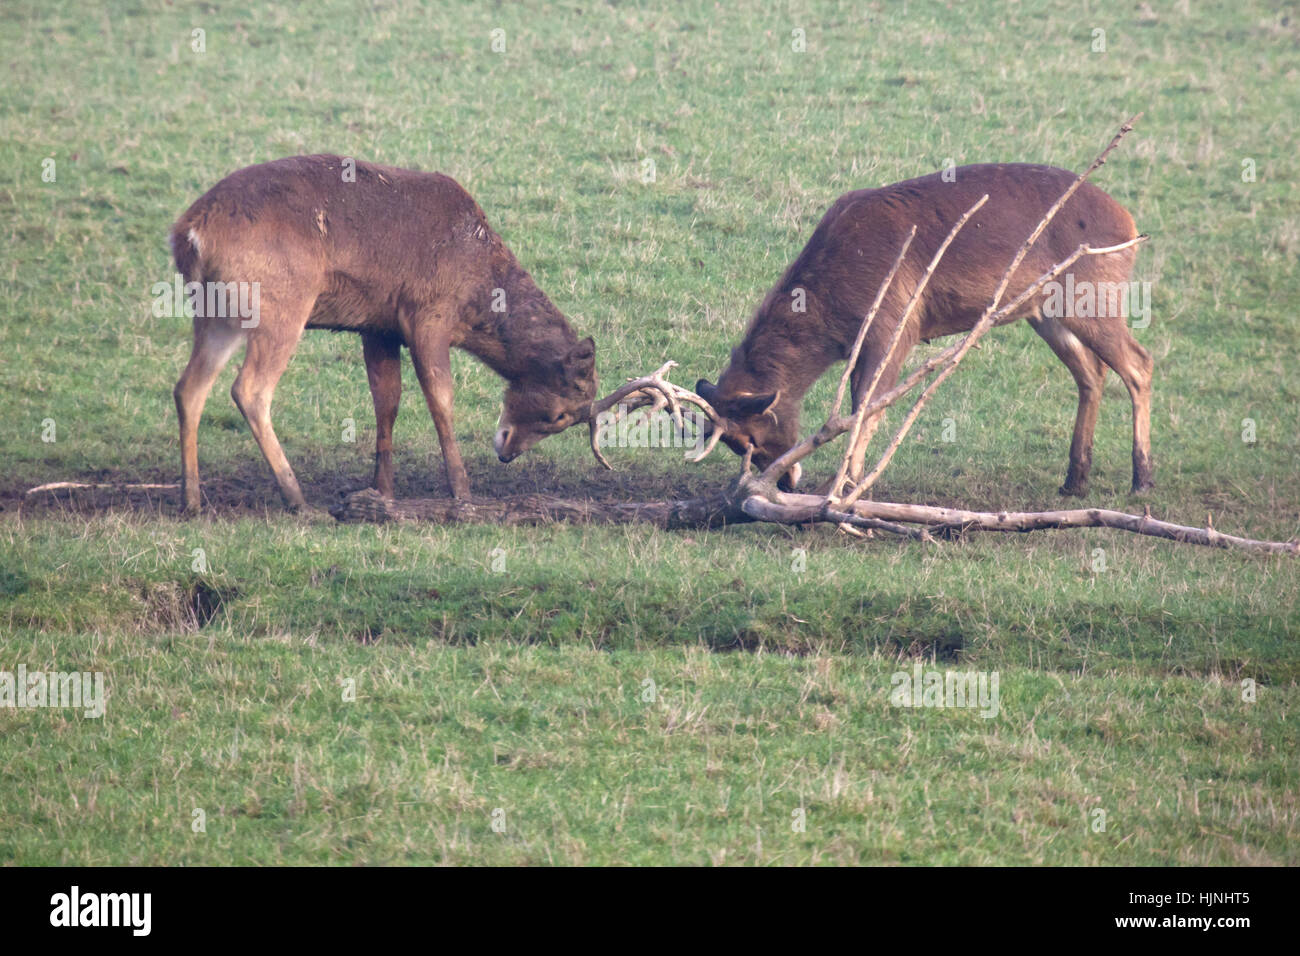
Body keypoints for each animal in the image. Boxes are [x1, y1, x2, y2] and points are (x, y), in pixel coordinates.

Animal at [169, 156, 598, 512]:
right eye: (559, 414)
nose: (507, 451)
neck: (478, 289)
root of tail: (188, 234)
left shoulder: (378, 327)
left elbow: (386, 401)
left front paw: (382, 492)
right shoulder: (426, 315)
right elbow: (440, 399)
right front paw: (462, 493)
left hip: (215, 314)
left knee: (189, 386)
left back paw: (192, 500)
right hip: (281, 305)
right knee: (250, 389)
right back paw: (298, 499)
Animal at [696, 163, 1154, 496]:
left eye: (753, 437)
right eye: (733, 445)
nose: (787, 484)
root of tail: (1131, 226)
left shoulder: (894, 325)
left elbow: (866, 405)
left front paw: (841, 486)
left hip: (1093, 296)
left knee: (1139, 363)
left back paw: (1142, 479)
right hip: (1045, 312)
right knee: (1091, 372)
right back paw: (1074, 481)